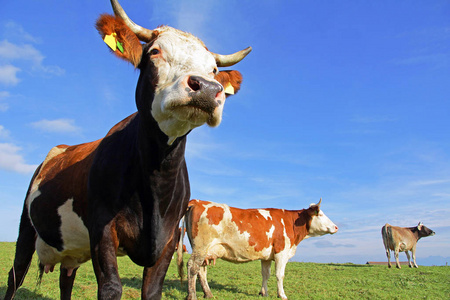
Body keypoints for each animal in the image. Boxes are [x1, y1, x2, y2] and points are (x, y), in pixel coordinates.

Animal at [3, 1, 251, 298]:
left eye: (213, 70)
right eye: (155, 51)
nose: (207, 88)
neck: (157, 180)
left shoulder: (169, 239)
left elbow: (152, 291)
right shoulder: (102, 229)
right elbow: (111, 287)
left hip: (71, 252)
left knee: (67, 278)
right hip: (26, 228)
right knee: (16, 274)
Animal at [178, 198, 340, 298]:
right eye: (321, 214)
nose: (336, 227)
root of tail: (197, 201)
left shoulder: (266, 256)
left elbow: (265, 274)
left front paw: (264, 293)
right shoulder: (281, 252)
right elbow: (279, 275)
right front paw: (282, 295)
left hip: (205, 251)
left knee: (201, 270)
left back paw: (208, 294)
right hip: (201, 247)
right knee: (192, 267)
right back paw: (192, 295)